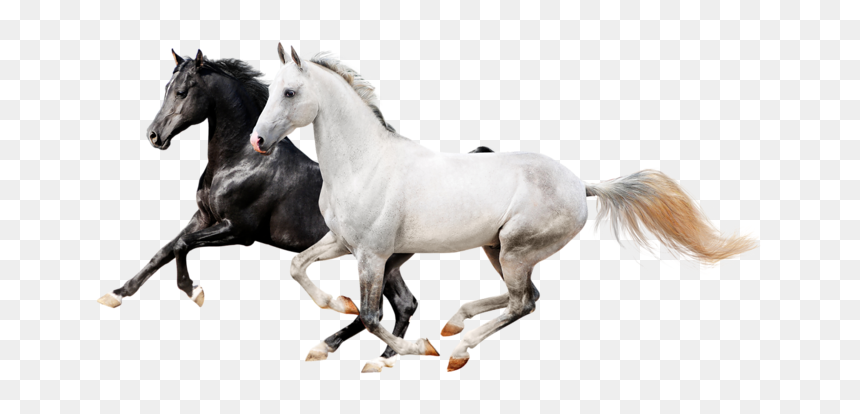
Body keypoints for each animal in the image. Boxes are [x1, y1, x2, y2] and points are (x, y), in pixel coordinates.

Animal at [96, 50, 484, 372]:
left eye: (182, 91)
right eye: (166, 87)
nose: (154, 135)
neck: (240, 160)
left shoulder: (238, 230)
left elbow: (181, 246)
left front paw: (193, 291)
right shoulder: (204, 217)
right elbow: (163, 250)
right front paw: (116, 294)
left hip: (376, 259)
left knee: (376, 310)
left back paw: (337, 344)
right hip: (387, 261)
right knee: (403, 304)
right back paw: (383, 358)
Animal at [250, 44, 758, 372]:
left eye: (290, 92)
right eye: (270, 90)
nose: (257, 141)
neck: (365, 163)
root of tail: (582, 185)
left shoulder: (372, 255)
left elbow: (372, 317)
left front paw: (408, 352)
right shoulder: (342, 242)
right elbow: (298, 267)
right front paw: (334, 308)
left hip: (516, 250)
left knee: (523, 302)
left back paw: (458, 348)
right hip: (497, 249)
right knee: (526, 297)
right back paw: (455, 325)